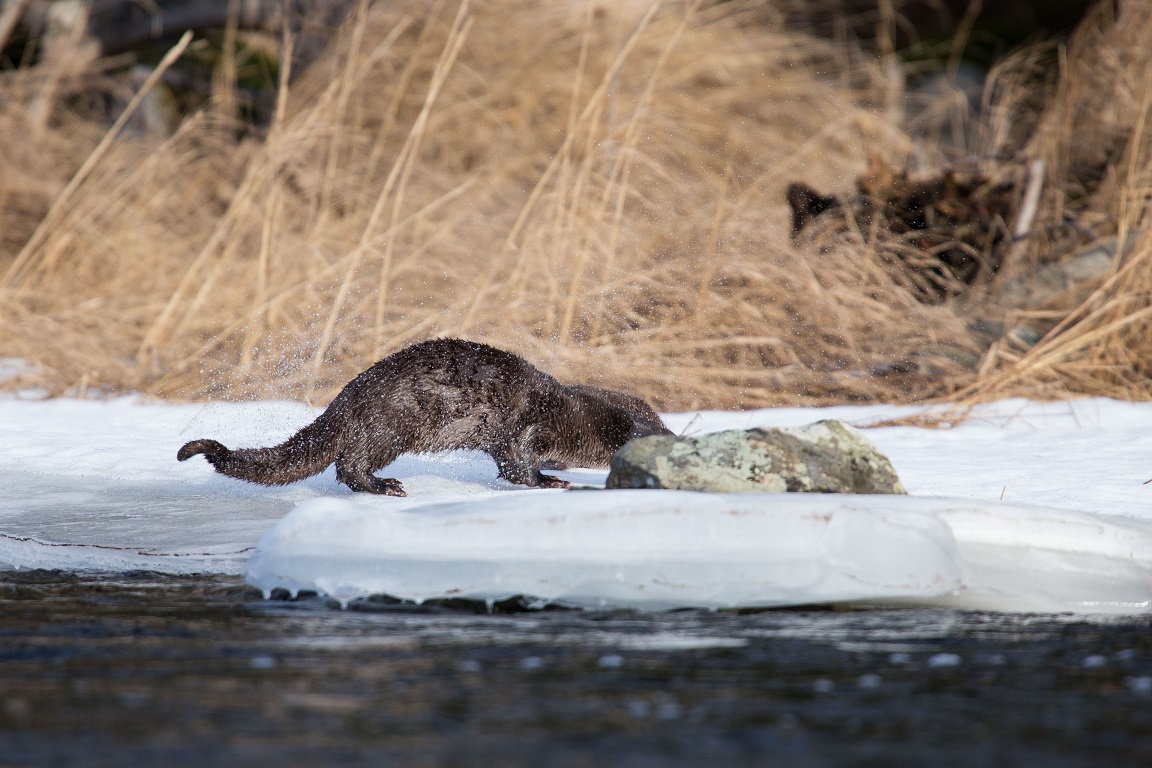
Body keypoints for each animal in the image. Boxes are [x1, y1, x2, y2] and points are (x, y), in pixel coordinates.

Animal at [175, 338, 672, 495]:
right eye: (655, 432)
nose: (672, 433)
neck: (572, 413)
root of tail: (349, 395)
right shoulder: (529, 425)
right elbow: (517, 464)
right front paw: (551, 480)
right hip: (390, 424)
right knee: (348, 464)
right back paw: (385, 486)